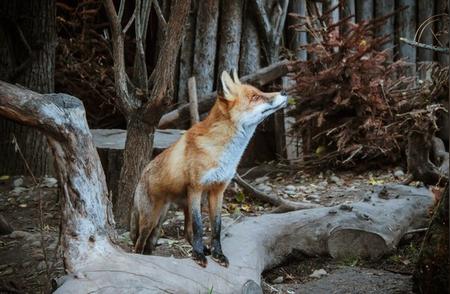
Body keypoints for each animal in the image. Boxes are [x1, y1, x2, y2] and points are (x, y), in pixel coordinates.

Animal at [129, 70, 288, 268]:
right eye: (255, 97)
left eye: (259, 92)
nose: (284, 92)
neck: (221, 152)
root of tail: (143, 173)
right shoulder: (196, 188)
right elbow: (199, 227)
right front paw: (198, 255)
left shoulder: (217, 190)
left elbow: (216, 227)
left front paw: (217, 254)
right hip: (151, 219)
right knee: (140, 242)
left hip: (169, 215)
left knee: (182, 234)